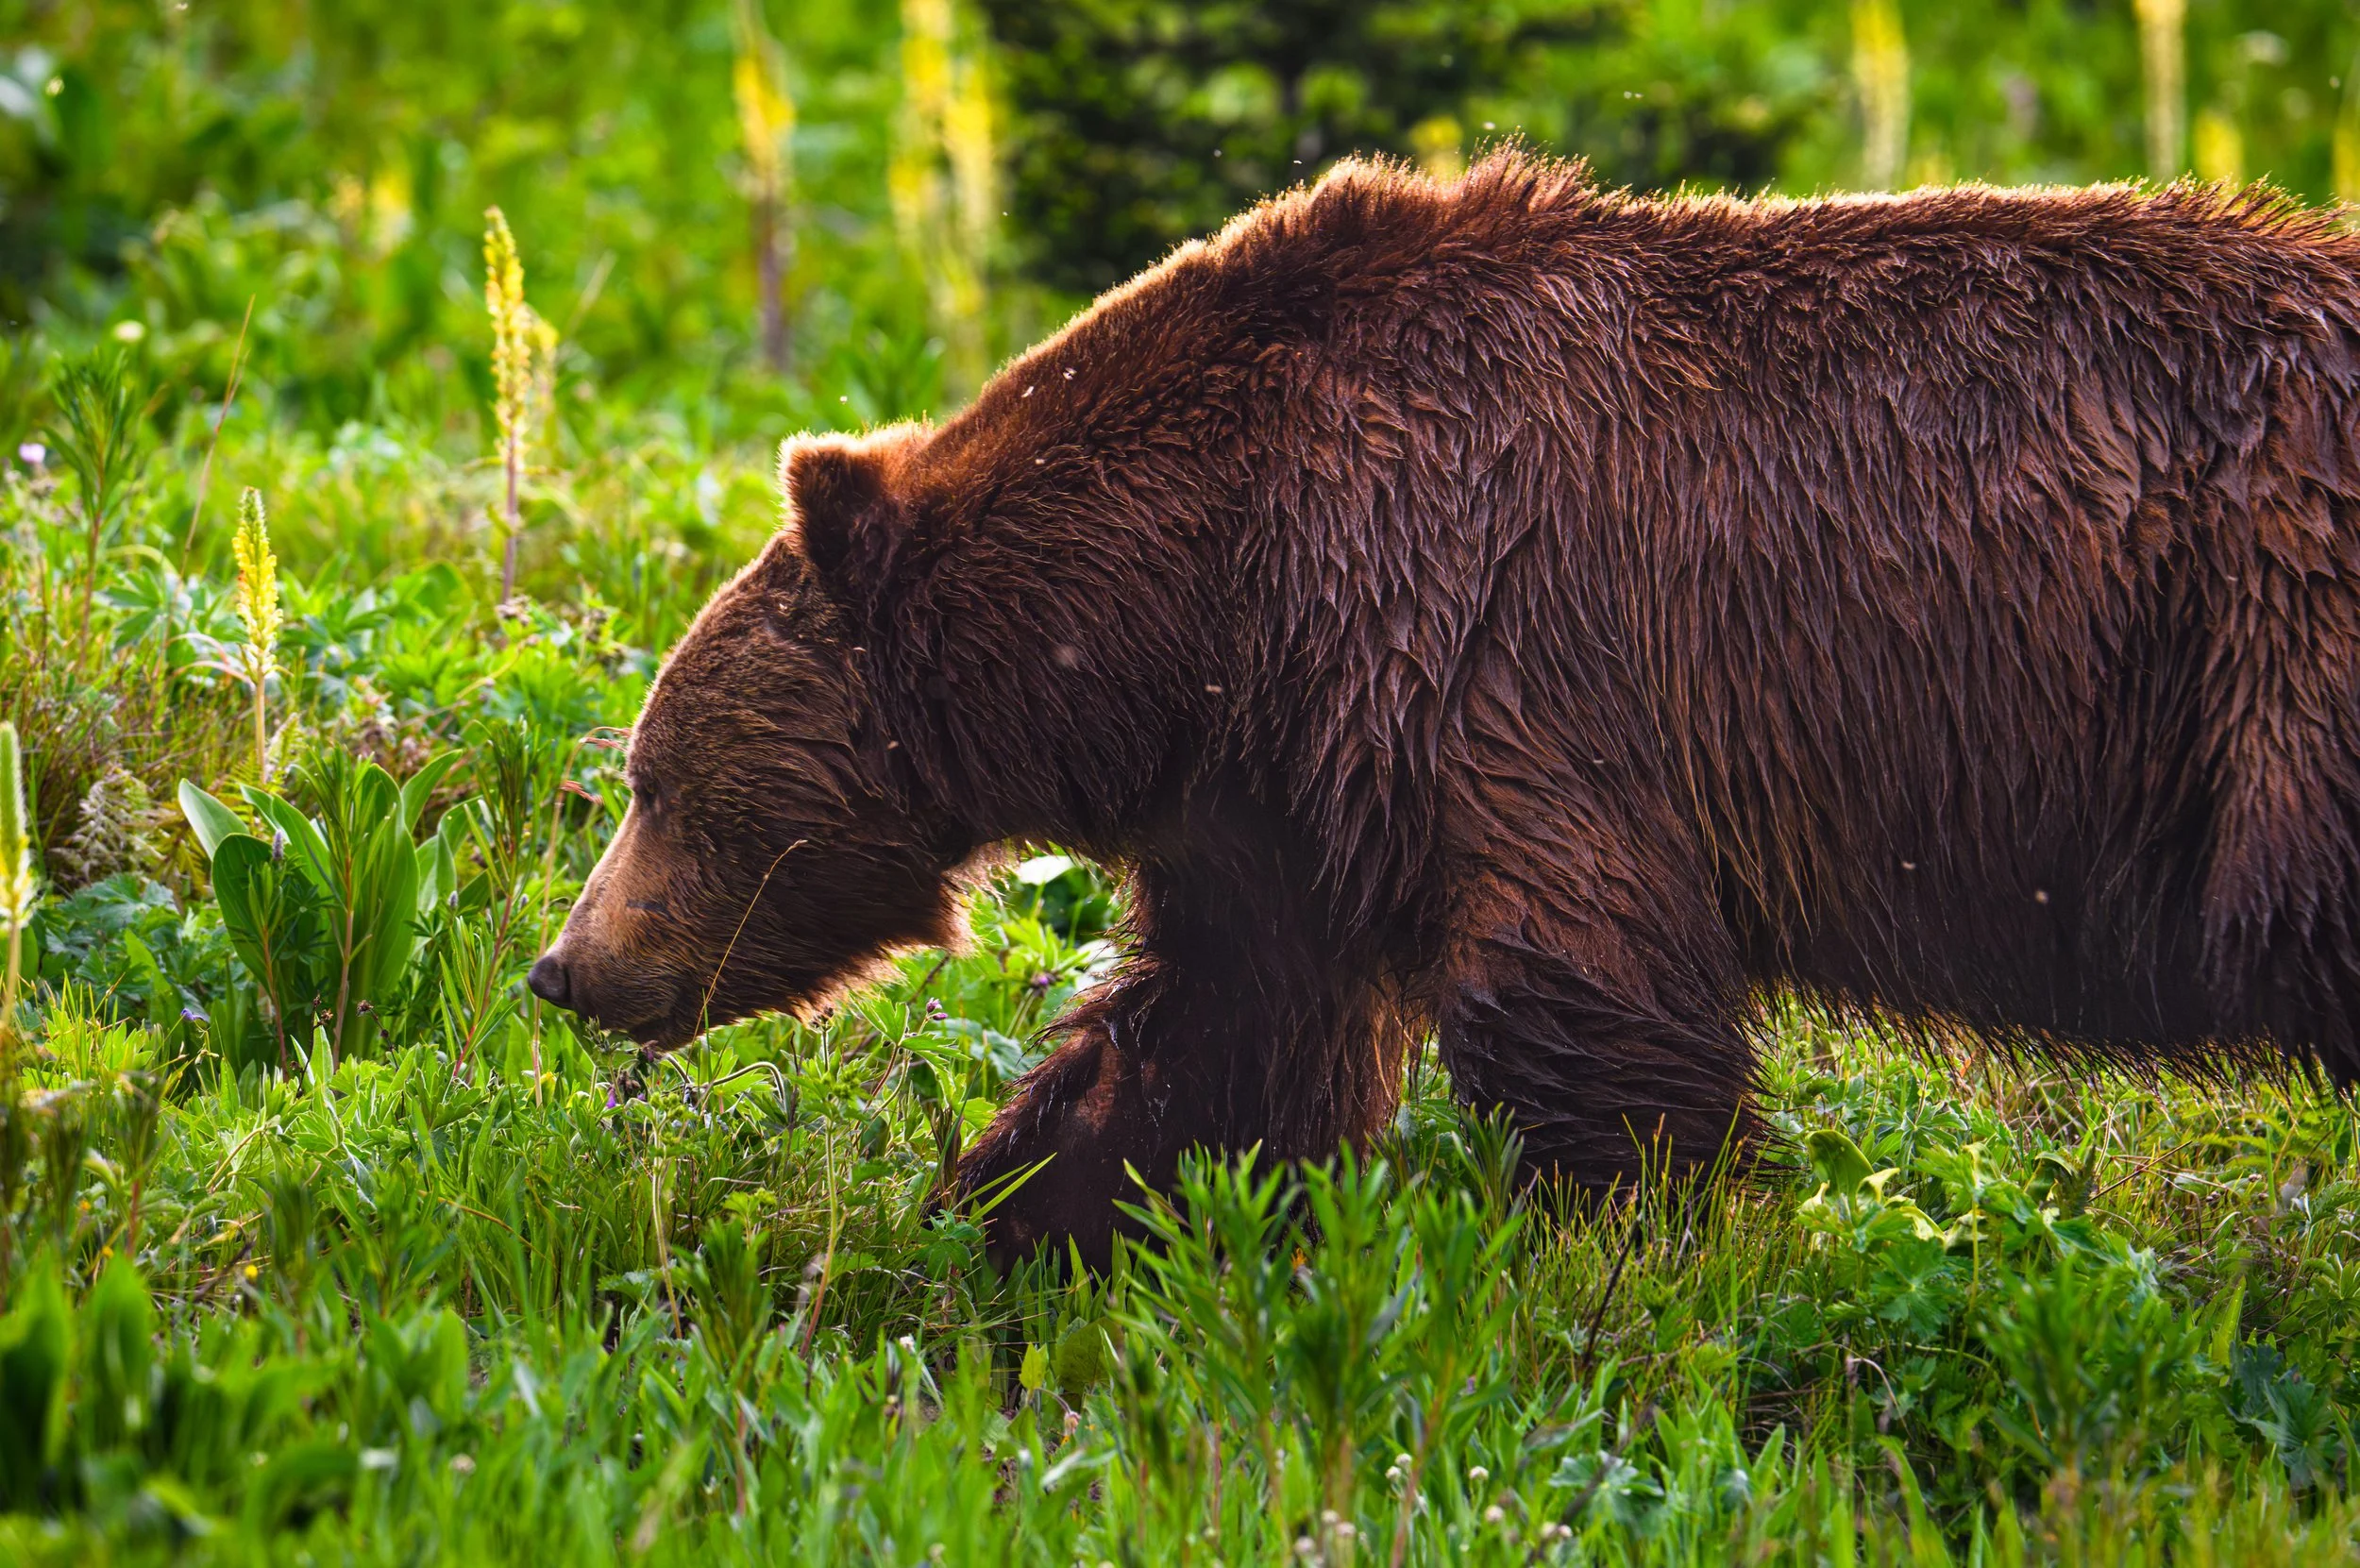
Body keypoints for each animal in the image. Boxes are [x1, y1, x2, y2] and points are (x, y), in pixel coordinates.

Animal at [530, 152, 2360, 1265]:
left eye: (656, 781)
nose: (565, 968)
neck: (1199, 582)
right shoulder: (1282, 783)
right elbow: (1212, 1038)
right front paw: (996, 1226)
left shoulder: (1477, 638)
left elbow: (1591, 1003)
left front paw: (1615, 1269)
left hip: (2276, 674)